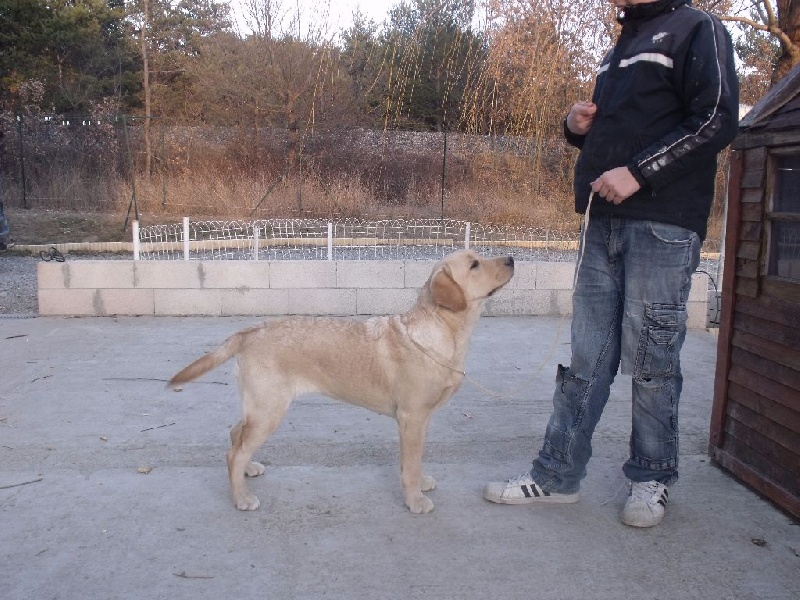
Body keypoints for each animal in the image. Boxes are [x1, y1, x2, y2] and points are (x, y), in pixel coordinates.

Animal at [172, 248, 516, 510]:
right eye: (474, 264)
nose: (512, 258)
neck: (442, 333)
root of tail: (249, 331)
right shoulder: (412, 416)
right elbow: (411, 465)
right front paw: (415, 500)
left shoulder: (420, 420)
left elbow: (413, 460)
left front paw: (420, 484)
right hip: (269, 408)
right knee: (235, 452)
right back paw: (241, 497)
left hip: (259, 406)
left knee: (236, 433)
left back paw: (249, 470)